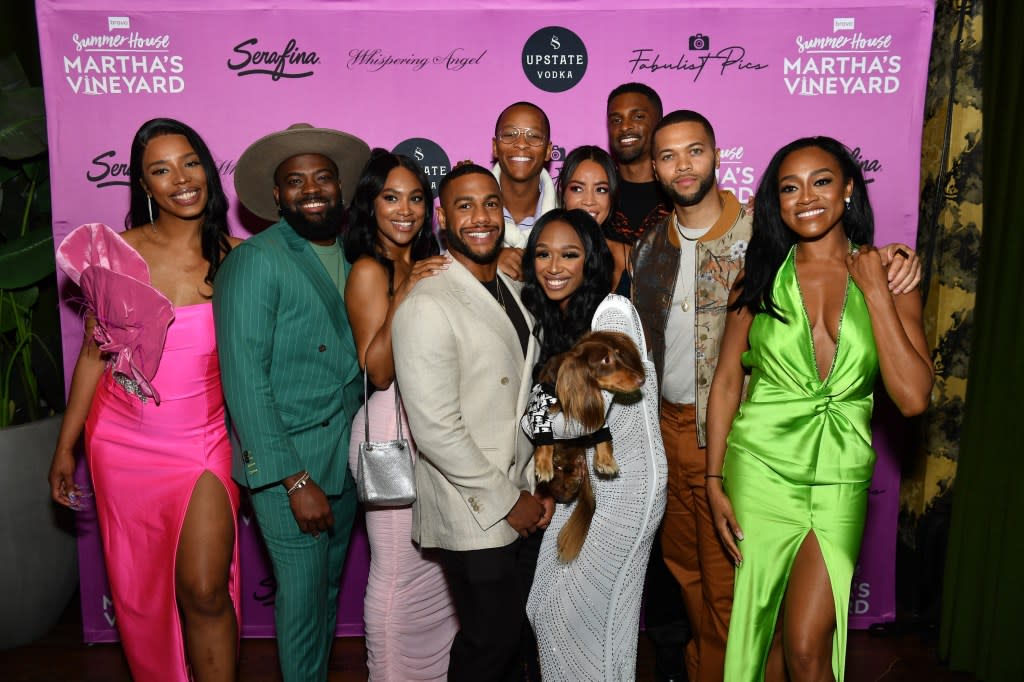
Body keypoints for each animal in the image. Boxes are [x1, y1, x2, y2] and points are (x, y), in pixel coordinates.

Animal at [532, 329, 643, 557]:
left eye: (618, 354)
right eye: (606, 360)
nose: (641, 379)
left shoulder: (596, 419)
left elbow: (603, 436)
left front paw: (606, 461)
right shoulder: (538, 410)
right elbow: (544, 437)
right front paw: (543, 465)